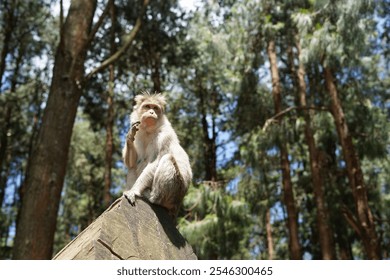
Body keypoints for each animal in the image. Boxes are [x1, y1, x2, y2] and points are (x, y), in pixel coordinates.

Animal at [122, 91, 193, 221]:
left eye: (155, 108)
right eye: (147, 106)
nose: (151, 112)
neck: (149, 131)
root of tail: (177, 207)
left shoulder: (164, 136)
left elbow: (154, 163)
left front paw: (133, 191)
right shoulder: (139, 133)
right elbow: (131, 162)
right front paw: (129, 136)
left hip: (174, 193)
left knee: (167, 159)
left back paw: (151, 197)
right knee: (133, 166)